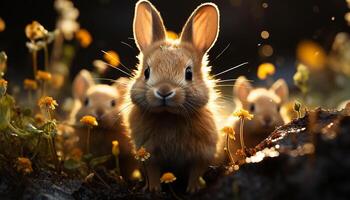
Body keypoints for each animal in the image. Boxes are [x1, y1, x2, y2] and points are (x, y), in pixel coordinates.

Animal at [126, 0, 221, 193]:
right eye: (146, 72)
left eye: (189, 73)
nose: (164, 91)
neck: (168, 116)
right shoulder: (148, 153)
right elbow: (153, 171)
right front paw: (154, 189)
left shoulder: (203, 153)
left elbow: (196, 171)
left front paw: (193, 190)